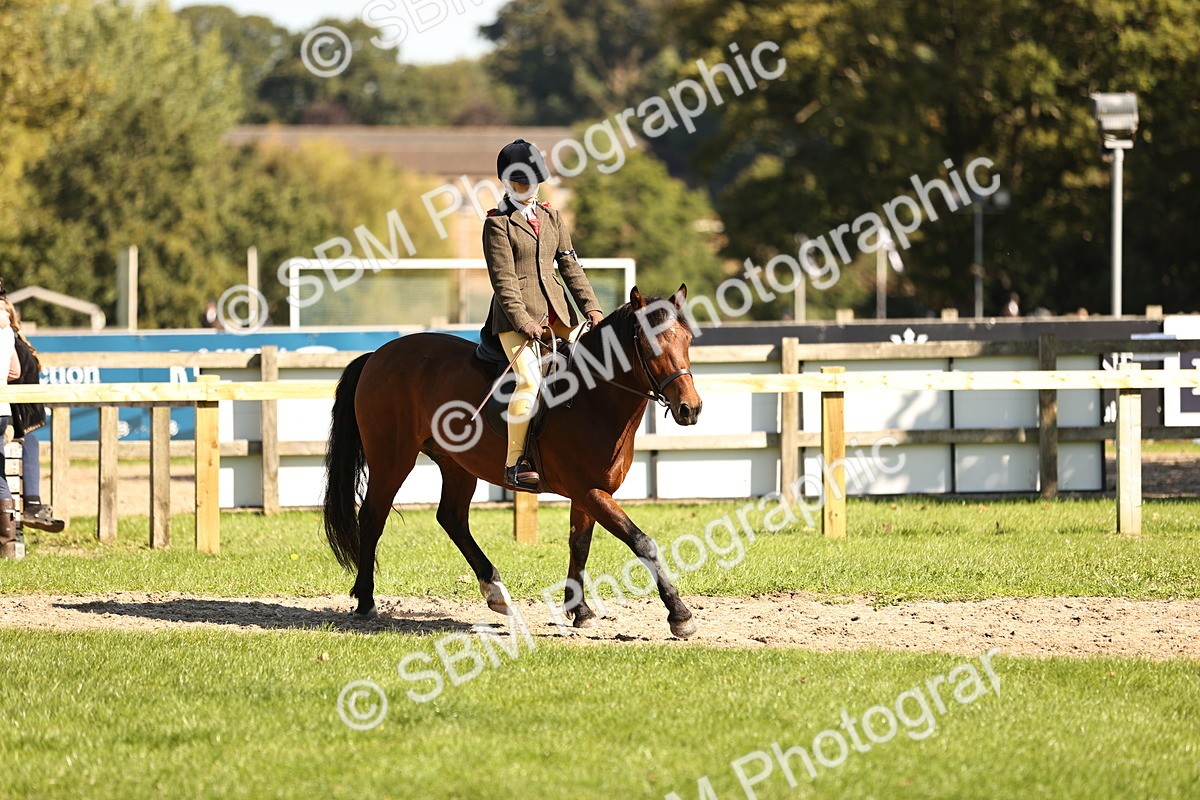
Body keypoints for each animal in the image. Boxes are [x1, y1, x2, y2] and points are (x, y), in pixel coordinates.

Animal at [321, 285, 704, 638]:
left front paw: (580, 611)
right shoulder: (590, 491)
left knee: (452, 518)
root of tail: (378, 355)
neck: (593, 399)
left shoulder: (590, 494)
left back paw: (496, 592)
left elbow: (579, 544)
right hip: (392, 458)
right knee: (373, 517)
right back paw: (366, 602)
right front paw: (679, 615)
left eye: (687, 340)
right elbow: (641, 542)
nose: (691, 408)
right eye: (651, 344)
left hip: (457, 465)